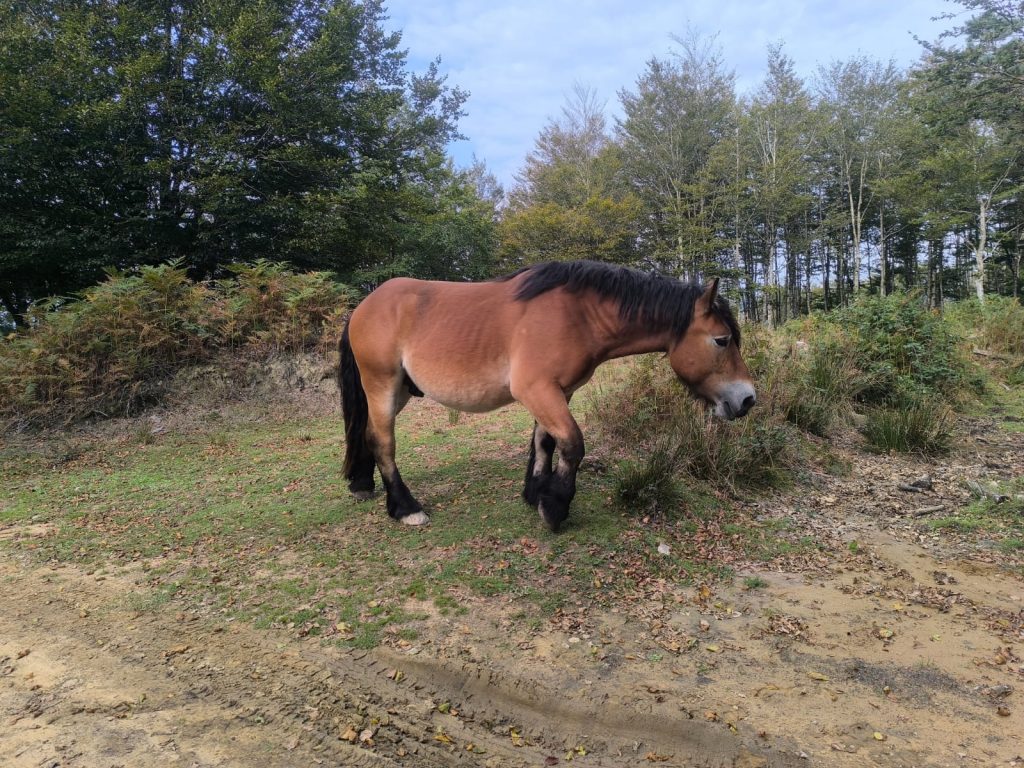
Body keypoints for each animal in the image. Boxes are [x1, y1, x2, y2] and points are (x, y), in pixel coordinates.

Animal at [339, 260, 755, 532]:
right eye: (722, 340)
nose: (748, 400)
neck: (576, 315)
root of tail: (363, 307)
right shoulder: (536, 389)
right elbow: (572, 444)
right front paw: (555, 506)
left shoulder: (558, 391)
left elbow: (545, 442)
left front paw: (535, 492)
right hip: (382, 385)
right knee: (383, 442)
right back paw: (406, 507)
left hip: (400, 391)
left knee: (366, 436)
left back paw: (362, 484)